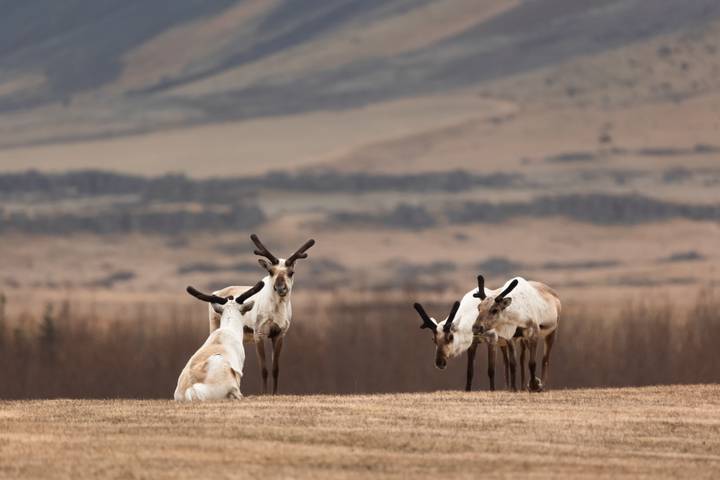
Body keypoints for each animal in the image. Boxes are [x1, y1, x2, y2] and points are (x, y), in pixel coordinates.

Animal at [209, 234, 315, 394]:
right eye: (271, 272)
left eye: (291, 272)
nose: (280, 288)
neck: (276, 311)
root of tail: (217, 292)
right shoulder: (259, 333)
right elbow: (263, 369)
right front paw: (264, 393)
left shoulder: (279, 334)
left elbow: (275, 368)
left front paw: (274, 393)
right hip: (214, 327)